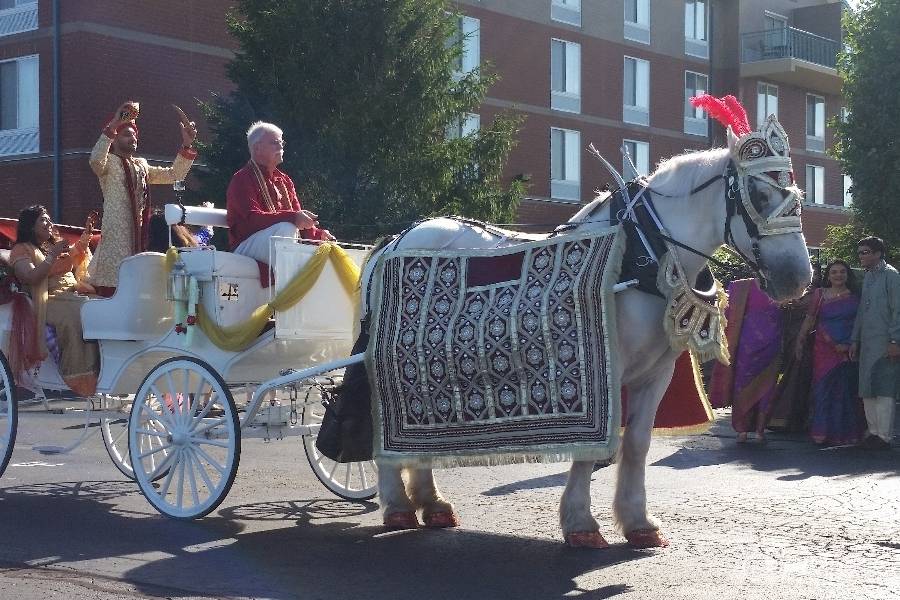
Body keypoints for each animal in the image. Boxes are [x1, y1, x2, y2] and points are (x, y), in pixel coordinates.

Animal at [356, 127, 808, 548]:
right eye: (757, 194)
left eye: (799, 195)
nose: (797, 278)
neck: (644, 254)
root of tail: (397, 239)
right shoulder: (599, 369)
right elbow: (593, 448)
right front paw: (581, 523)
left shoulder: (655, 373)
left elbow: (637, 444)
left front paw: (638, 522)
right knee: (382, 422)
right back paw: (397, 505)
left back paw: (431, 502)